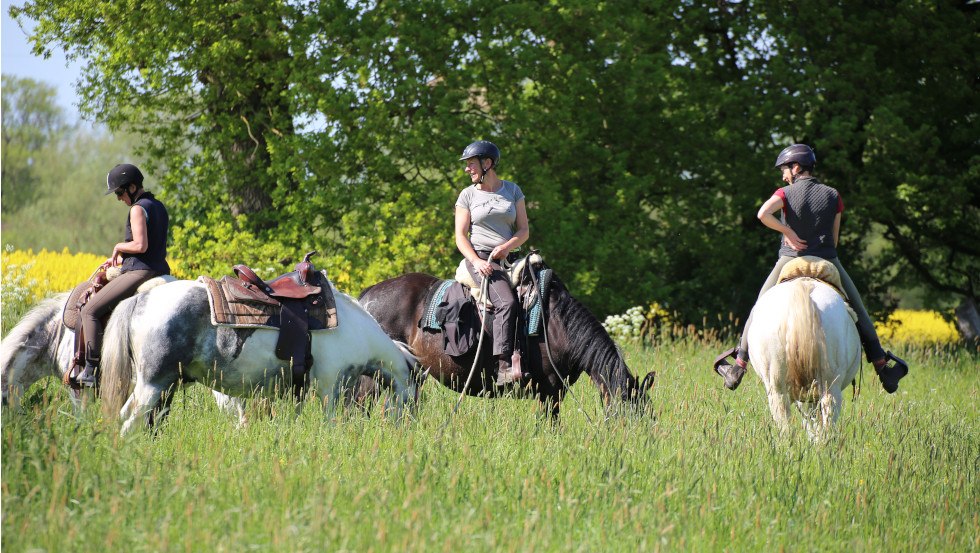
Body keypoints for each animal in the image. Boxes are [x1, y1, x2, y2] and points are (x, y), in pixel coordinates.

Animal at [99, 278, 418, 434]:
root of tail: (141, 298)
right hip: (154, 385)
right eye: (417, 394)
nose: (409, 430)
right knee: (129, 426)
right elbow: (331, 425)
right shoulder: (329, 386)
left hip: (156, 386)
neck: (355, 329)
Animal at [356, 252, 656, 416]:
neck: (556, 324)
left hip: (413, 374)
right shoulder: (549, 389)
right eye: (630, 411)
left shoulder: (555, 390)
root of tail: (367, 296)